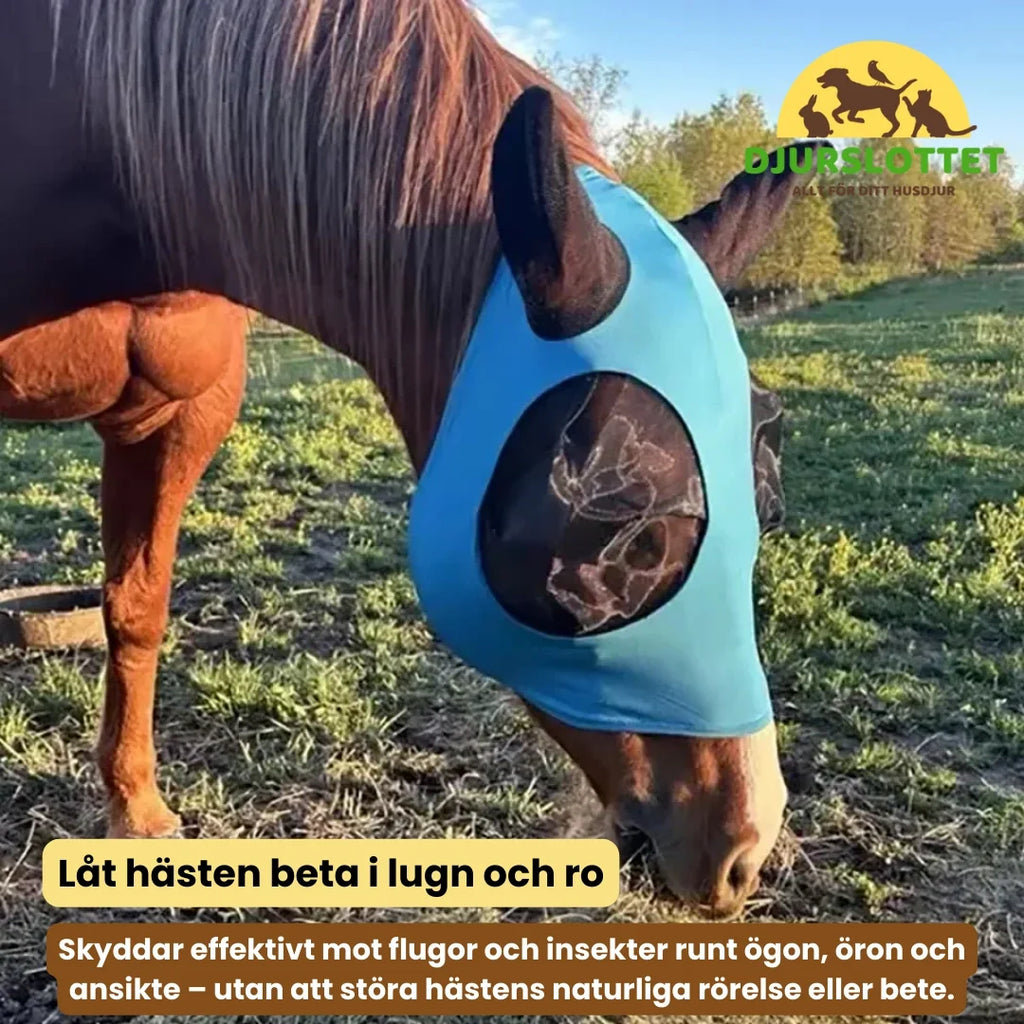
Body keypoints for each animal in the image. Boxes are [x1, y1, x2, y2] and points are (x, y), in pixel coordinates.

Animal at [1, 0, 822, 918]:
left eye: (766, 509)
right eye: (634, 535)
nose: (743, 852)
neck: (104, 144)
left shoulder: (178, 416)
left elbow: (137, 609)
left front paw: (136, 812)